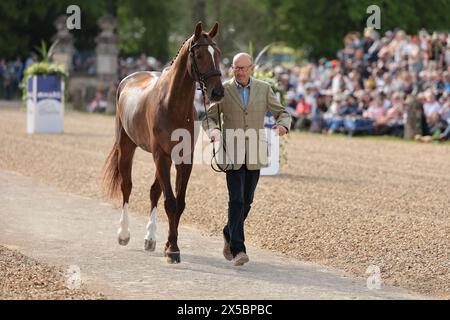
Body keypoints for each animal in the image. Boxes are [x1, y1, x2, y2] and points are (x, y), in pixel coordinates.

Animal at [101, 21, 222, 262]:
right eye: (200, 55)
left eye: (218, 53)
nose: (217, 91)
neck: (173, 104)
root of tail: (128, 79)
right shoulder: (162, 156)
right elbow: (170, 201)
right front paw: (173, 249)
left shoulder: (184, 159)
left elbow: (179, 202)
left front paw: (169, 244)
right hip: (128, 147)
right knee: (127, 186)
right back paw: (124, 233)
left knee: (154, 191)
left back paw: (150, 238)